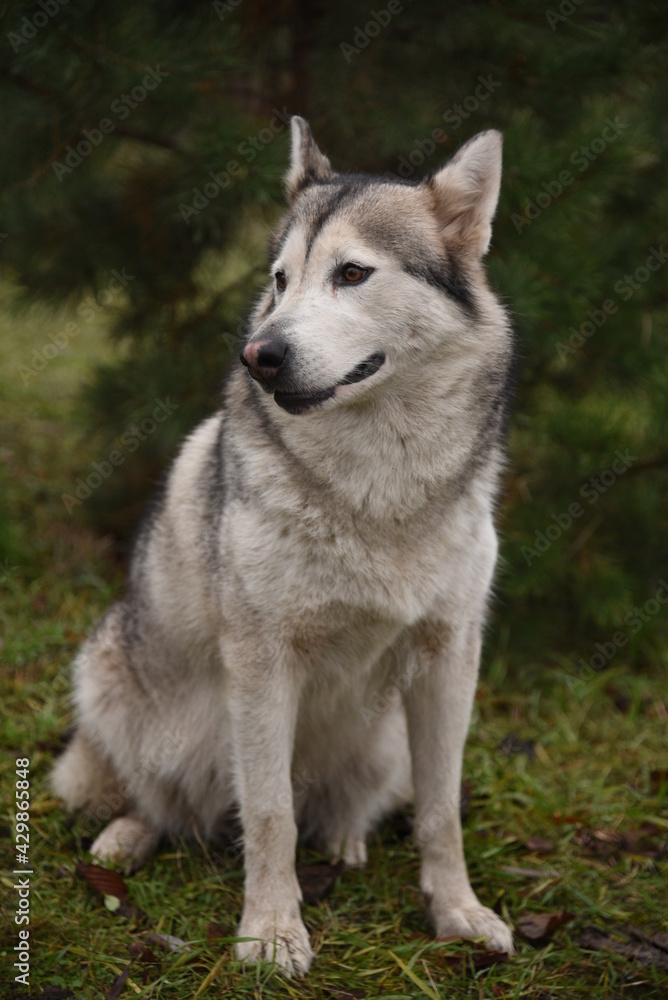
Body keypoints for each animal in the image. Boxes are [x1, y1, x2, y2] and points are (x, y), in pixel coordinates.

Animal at [54, 117, 520, 976]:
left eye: (352, 273)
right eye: (279, 279)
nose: (259, 356)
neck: (380, 490)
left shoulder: (449, 656)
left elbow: (441, 811)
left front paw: (459, 914)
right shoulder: (264, 661)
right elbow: (269, 814)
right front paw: (271, 933)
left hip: (387, 738)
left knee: (341, 807)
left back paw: (345, 841)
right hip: (107, 680)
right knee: (159, 801)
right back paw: (123, 842)